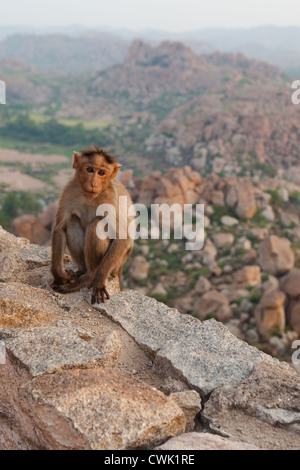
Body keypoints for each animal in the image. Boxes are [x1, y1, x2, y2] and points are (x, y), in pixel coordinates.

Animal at [51, 145, 134, 302]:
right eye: (89, 169)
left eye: (101, 172)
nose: (93, 183)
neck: (90, 196)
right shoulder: (69, 190)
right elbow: (59, 228)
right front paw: (59, 275)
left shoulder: (111, 198)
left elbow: (122, 237)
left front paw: (99, 281)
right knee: (72, 221)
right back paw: (81, 273)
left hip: (117, 263)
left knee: (96, 224)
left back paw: (90, 276)